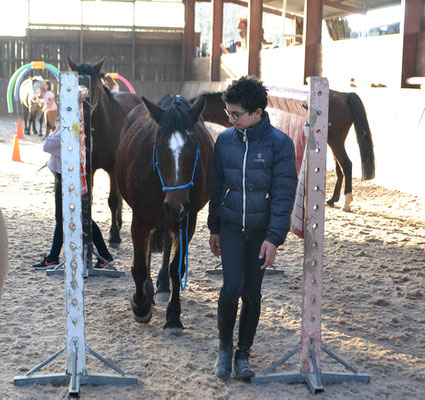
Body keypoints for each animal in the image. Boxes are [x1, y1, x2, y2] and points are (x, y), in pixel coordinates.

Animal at [66, 56, 142, 244]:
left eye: (95, 86)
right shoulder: (89, 168)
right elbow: (89, 199)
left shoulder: (113, 167)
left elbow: (113, 200)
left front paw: (114, 234)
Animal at [115, 95, 212, 336]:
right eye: (157, 147)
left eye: (194, 148)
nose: (175, 205)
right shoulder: (140, 219)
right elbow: (140, 266)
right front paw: (141, 306)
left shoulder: (187, 222)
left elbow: (176, 269)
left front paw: (174, 317)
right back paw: (149, 291)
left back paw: (162, 286)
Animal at [192, 89, 374, 211]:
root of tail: (345, 95)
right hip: (333, 142)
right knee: (339, 168)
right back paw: (332, 199)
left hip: (335, 141)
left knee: (347, 165)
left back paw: (346, 203)